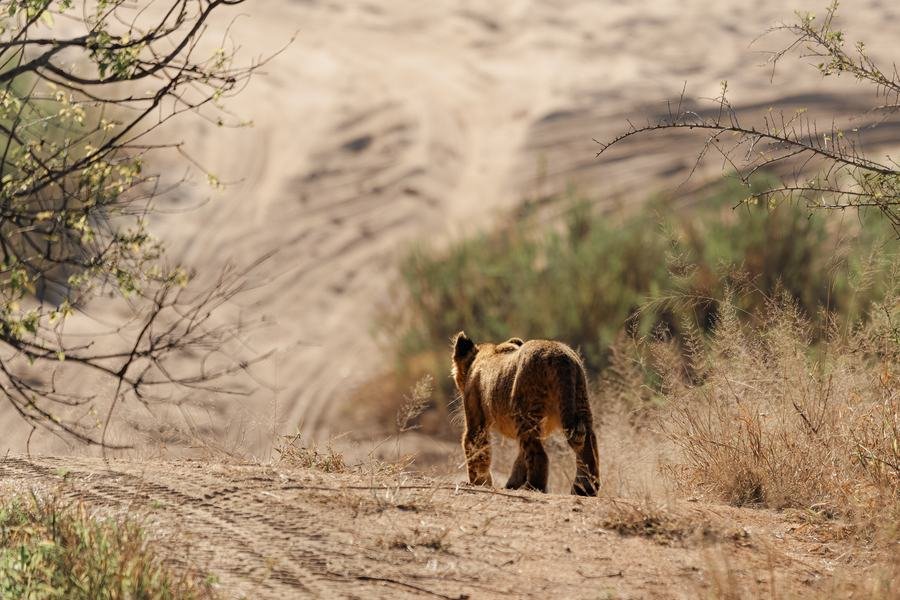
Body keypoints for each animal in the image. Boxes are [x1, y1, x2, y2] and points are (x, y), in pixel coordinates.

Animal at [451, 331, 600, 496]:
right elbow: (520, 458)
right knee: (589, 448)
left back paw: (533, 487)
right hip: (581, 405)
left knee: (539, 455)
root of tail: (561, 357)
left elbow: (475, 450)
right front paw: (511, 484)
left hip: (525, 414)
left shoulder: (477, 421)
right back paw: (584, 489)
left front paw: (479, 483)